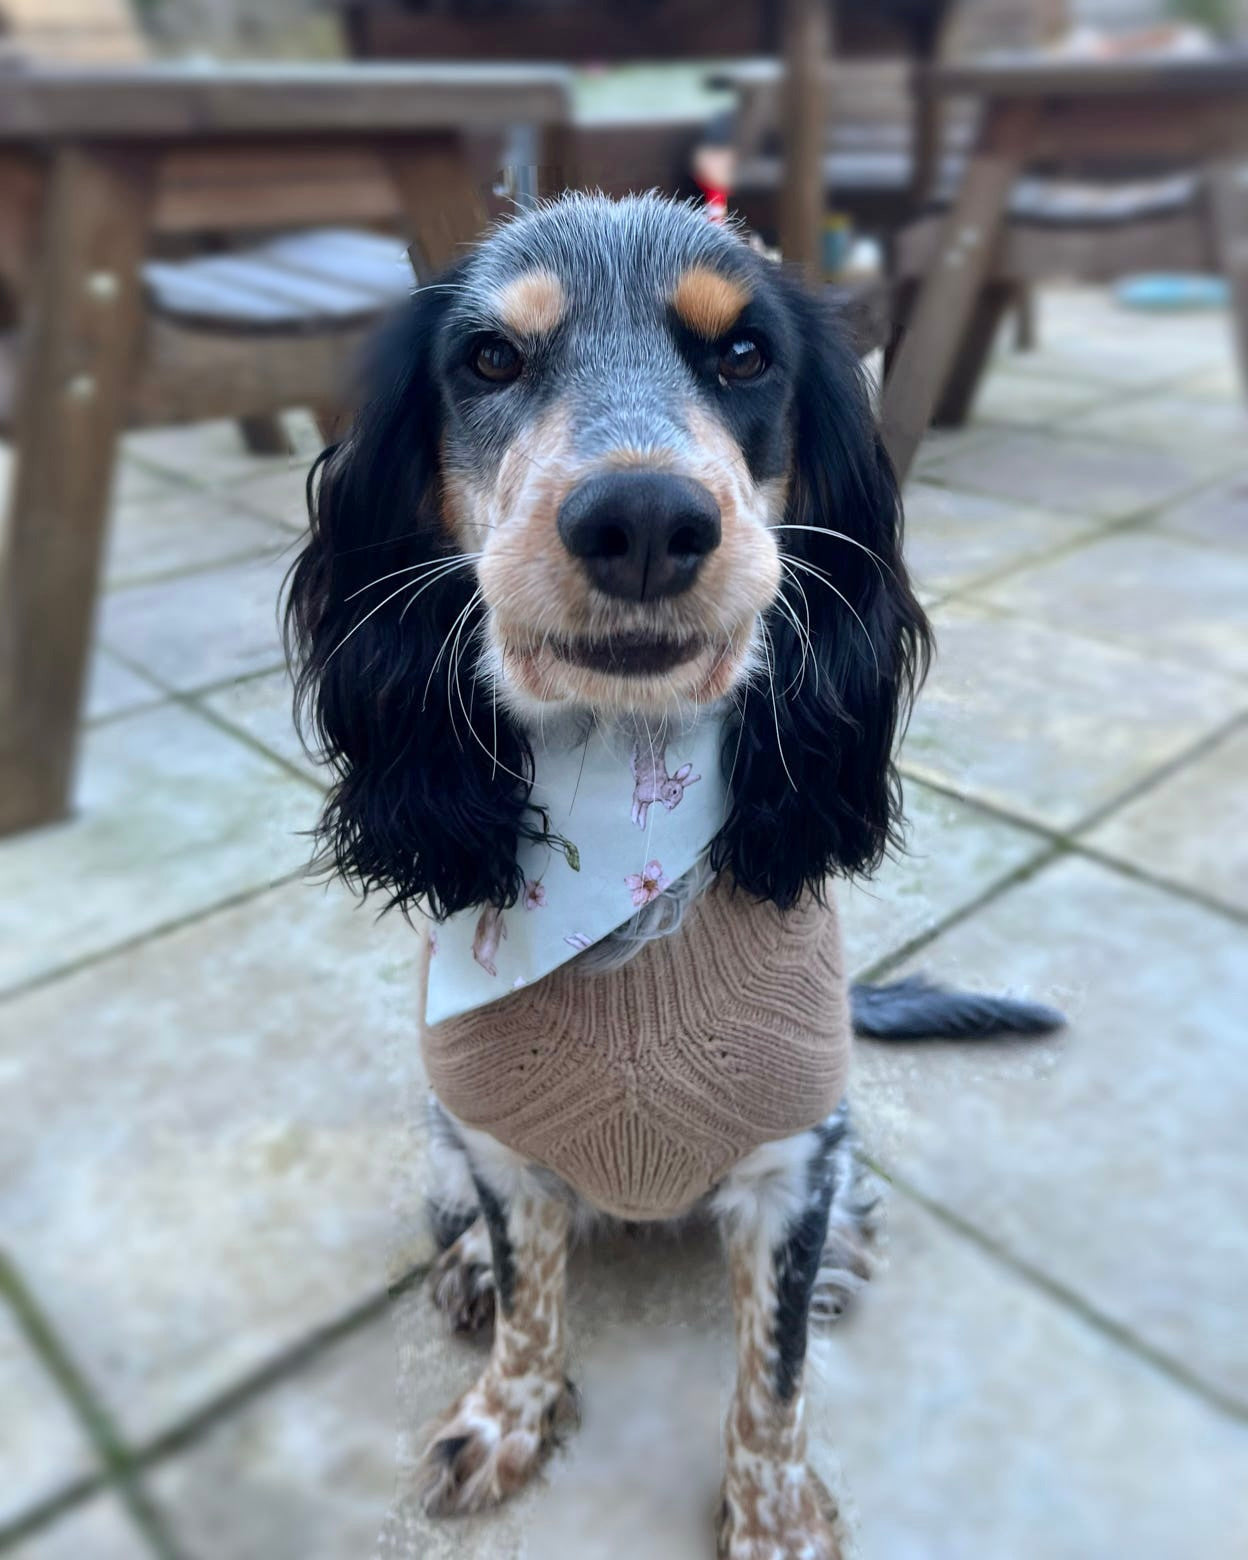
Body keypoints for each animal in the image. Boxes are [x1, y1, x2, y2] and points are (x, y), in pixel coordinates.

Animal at [285, 195, 1060, 1560]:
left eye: (746, 354)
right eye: (489, 358)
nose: (642, 520)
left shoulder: (796, 1160)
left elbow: (774, 1372)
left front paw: (776, 1514)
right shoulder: (502, 1148)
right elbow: (534, 1295)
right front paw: (508, 1416)